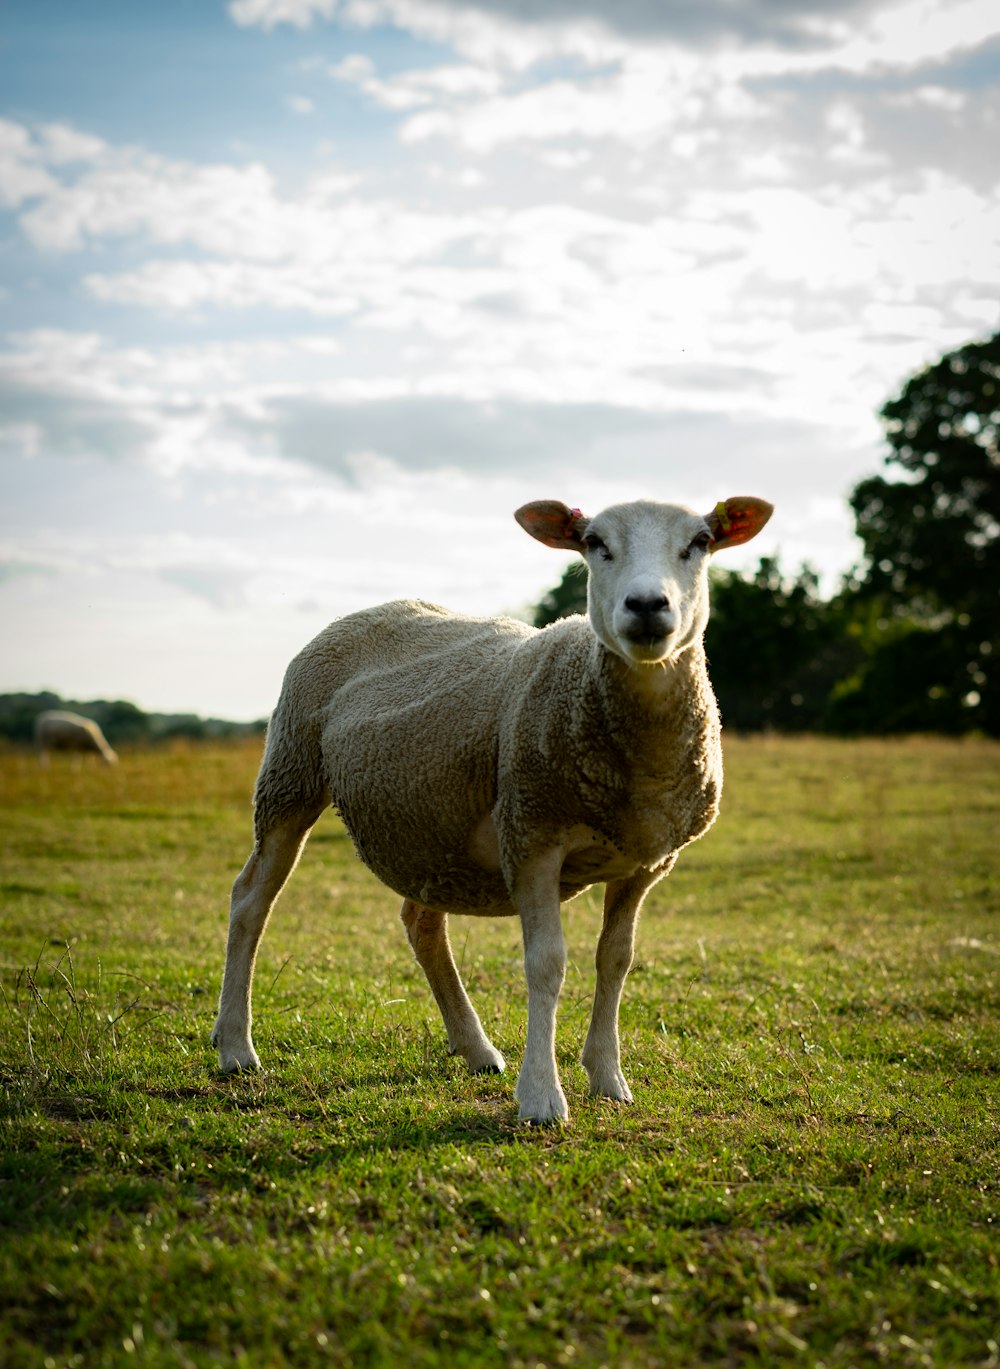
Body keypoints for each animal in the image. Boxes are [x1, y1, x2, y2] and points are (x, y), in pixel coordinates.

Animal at [210, 495, 772, 1122]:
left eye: (699, 542)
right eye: (594, 543)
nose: (647, 604)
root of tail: (366, 610)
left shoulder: (644, 863)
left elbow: (616, 960)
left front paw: (608, 1077)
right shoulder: (530, 835)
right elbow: (547, 964)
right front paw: (542, 1096)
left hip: (428, 822)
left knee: (422, 924)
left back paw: (475, 1048)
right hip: (291, 774)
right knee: (250, 901)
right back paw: (236, 1046)